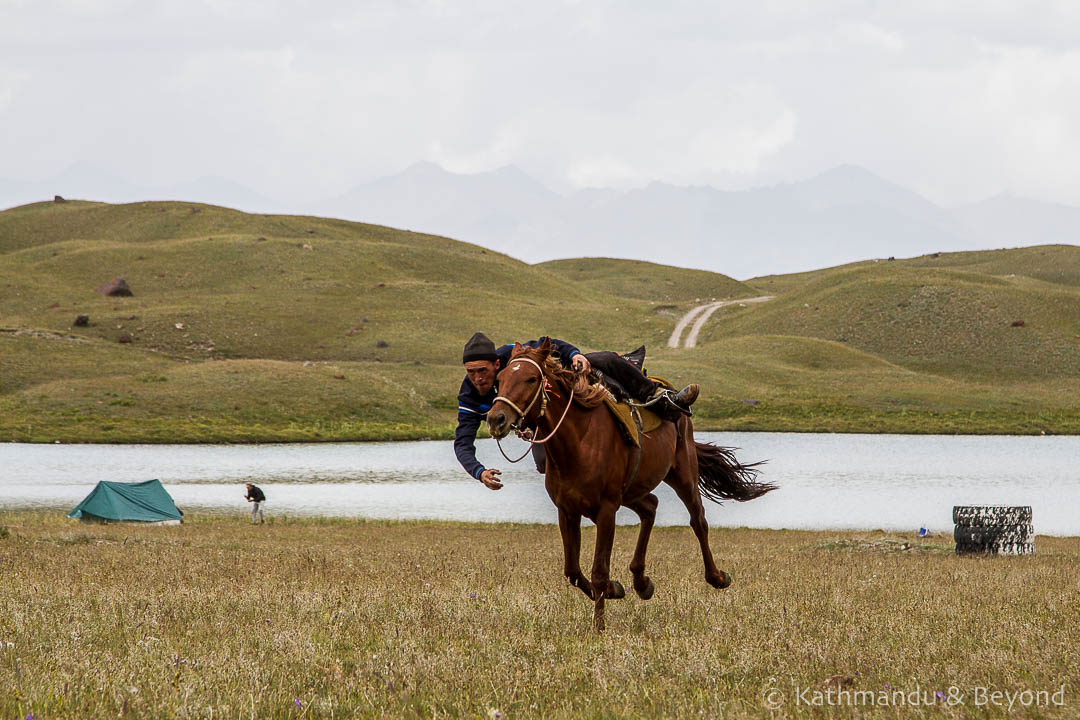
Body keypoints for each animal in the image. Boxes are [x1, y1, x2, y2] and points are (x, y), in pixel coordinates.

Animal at [486, 341, 773, 626]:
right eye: (500, 379)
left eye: (531, 379)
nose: (496, 419)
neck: (579, 442)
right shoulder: (567, 510)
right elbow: (573, 570)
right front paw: (615, 589)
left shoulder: (606, 510)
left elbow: (599, 571)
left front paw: (599, 626)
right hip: (634, 490)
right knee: (651, 507)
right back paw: (641, 582)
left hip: (683, 474)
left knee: (698, 520)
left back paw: (716, 577)